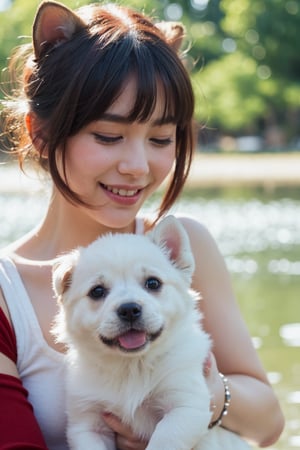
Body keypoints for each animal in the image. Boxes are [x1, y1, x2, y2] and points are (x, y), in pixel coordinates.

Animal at [52, 216, 251, 448]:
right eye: (97, 291)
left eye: (153, 283)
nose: (129, 309)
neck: (132, 367)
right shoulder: (87, 422)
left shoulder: (184, 404)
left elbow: (163, 440)